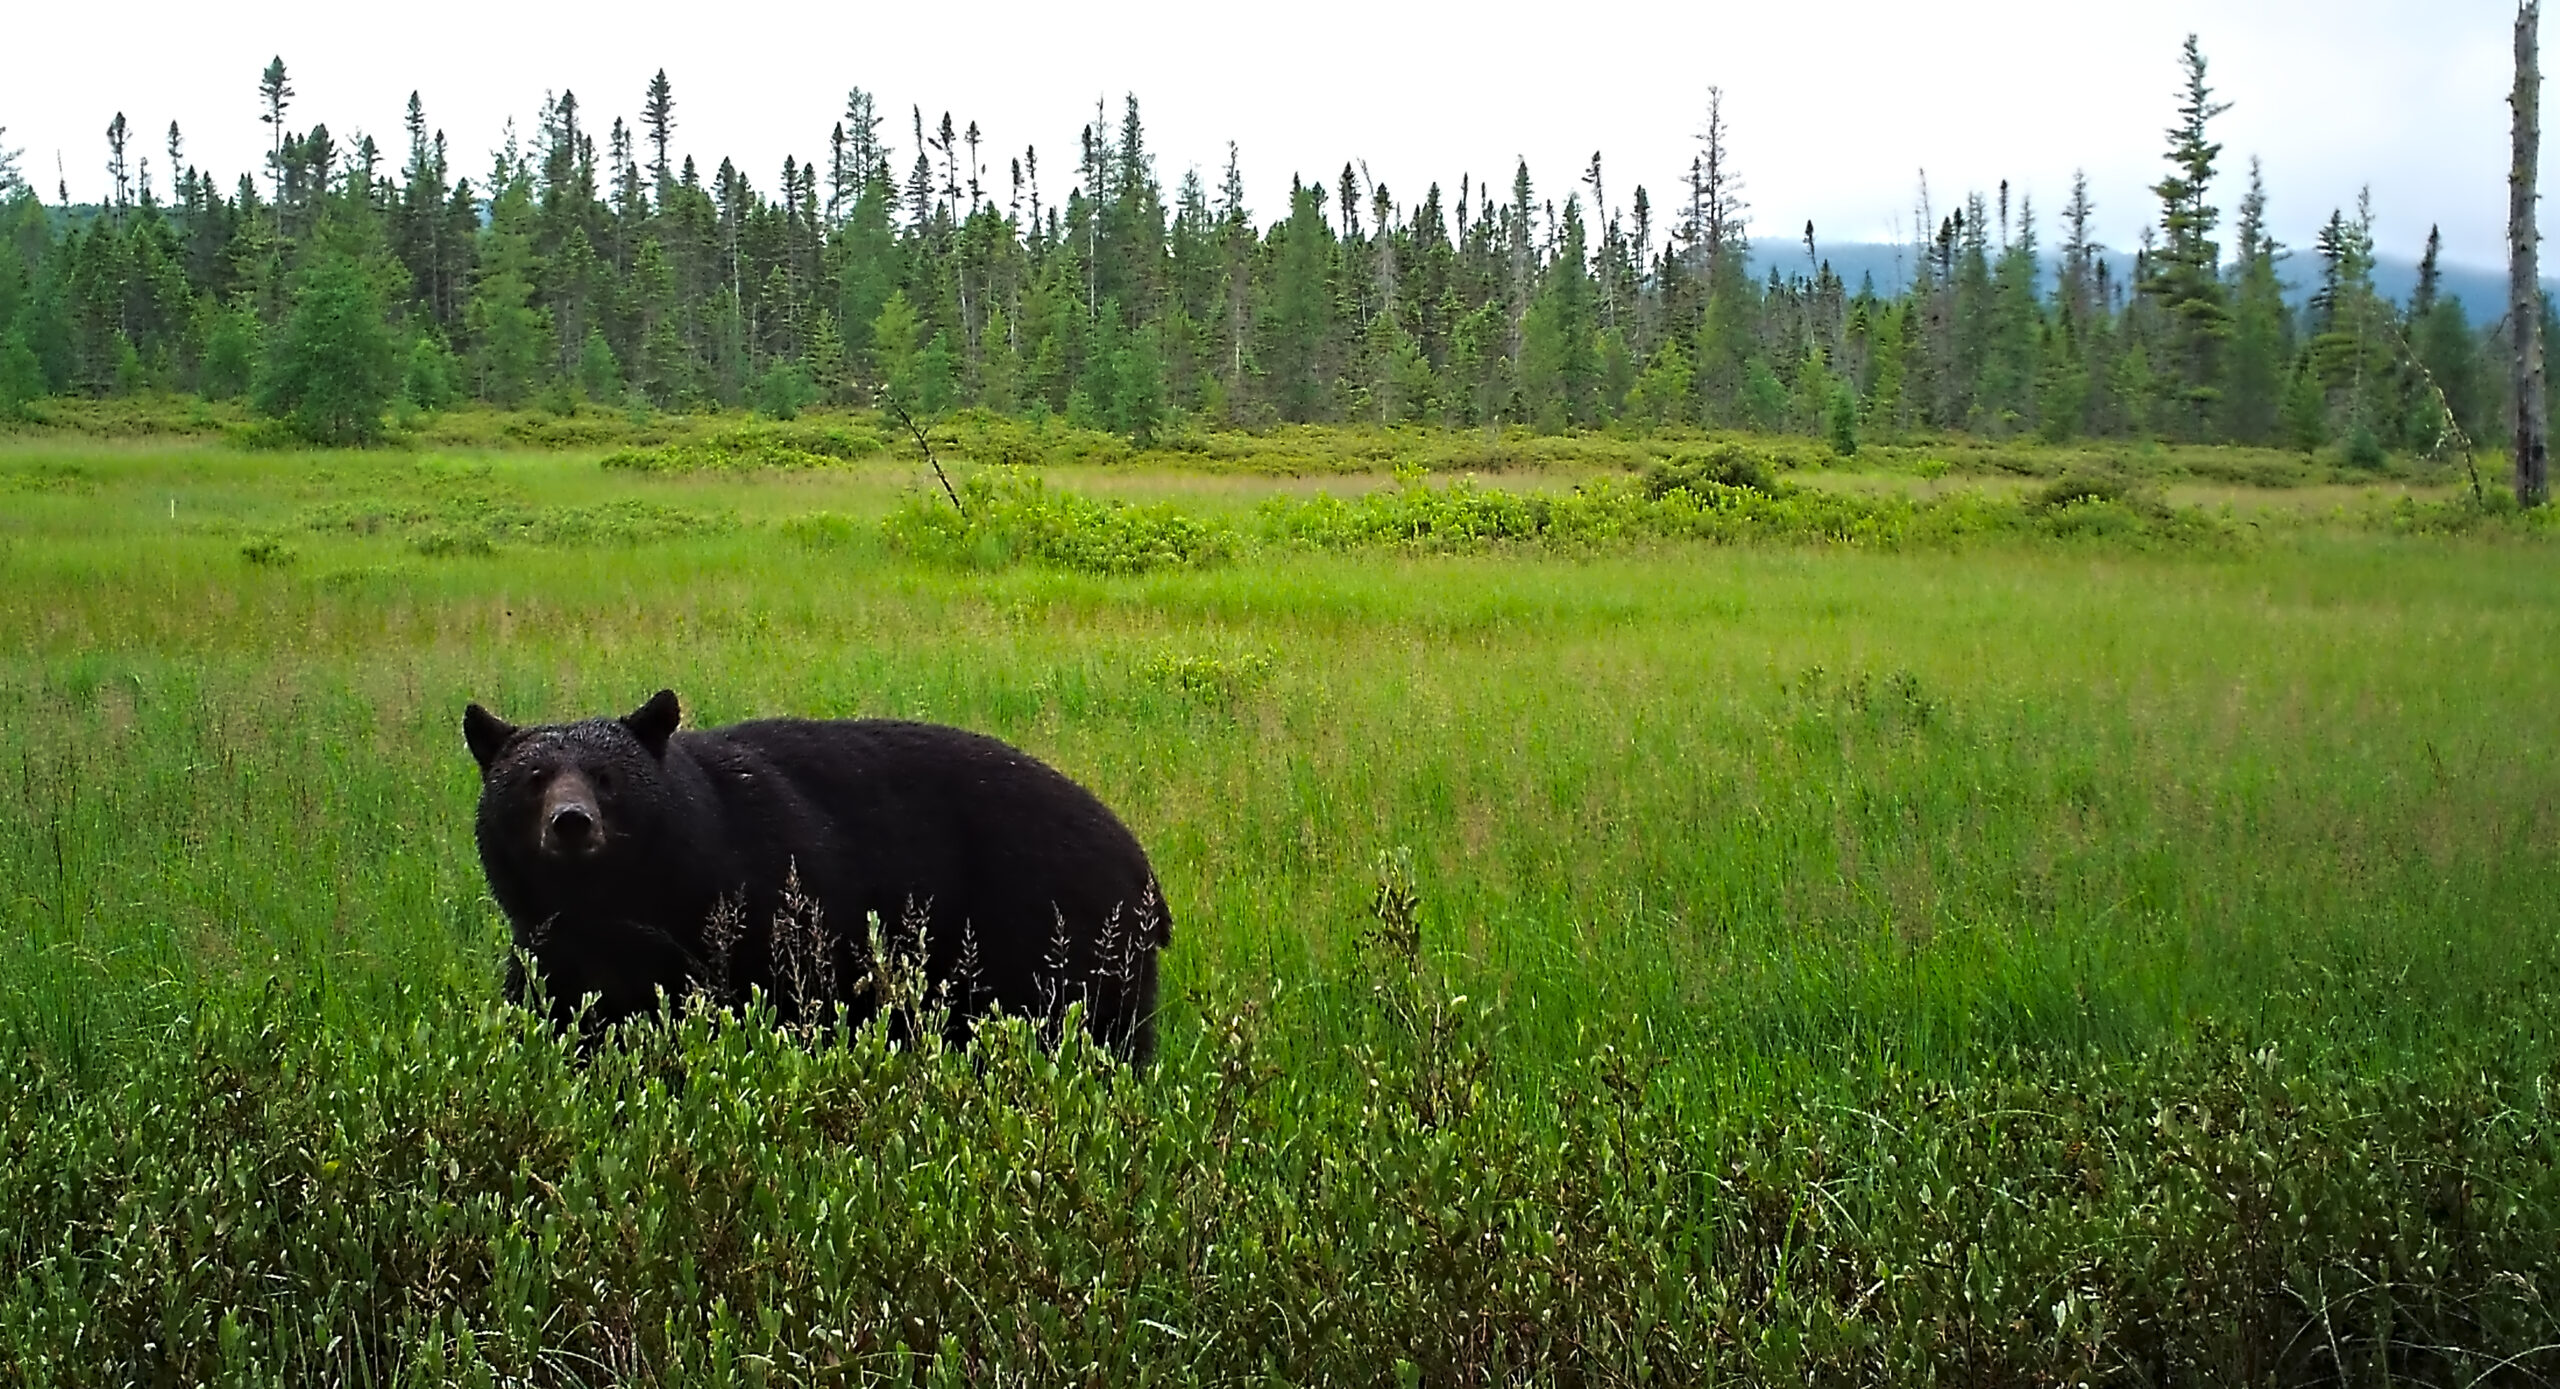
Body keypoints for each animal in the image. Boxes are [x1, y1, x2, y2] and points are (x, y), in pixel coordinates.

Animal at [463, 689, 1169, 1064]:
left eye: (607, 779)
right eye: (532, 779)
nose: (571, 823)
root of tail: (1144, 873)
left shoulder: (771, 912)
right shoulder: (551, 946)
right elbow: (560, 1013)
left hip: (1059, 941)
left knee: (1096, 1036)